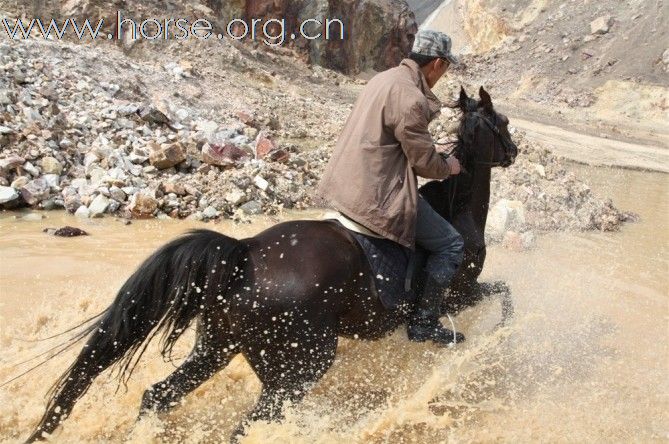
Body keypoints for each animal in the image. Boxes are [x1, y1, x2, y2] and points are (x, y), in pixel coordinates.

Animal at [24, 86, 516, 440]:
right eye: (504, 122)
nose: (513, 152)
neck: (457, 208)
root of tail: (244, 255)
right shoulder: (461, 293)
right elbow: (504, 294)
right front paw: (502, 335)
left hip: (216, 349)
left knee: (157, 397)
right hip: (296, 369)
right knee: (250, 423)